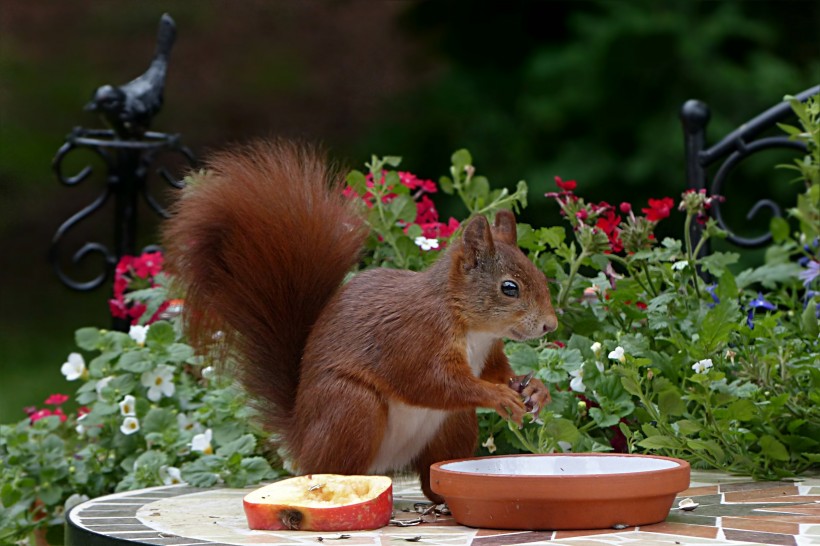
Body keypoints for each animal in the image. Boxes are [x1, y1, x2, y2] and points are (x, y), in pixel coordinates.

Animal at [162, 138, 556, 500]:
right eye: (509, 288)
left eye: (538, 273)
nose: (550, 325)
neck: (473, 327)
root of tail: (302, 439)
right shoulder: (415, 337)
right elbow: (432, 382)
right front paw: (497, 396)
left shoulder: (488, 352)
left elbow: (496, 372)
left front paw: (534, 388)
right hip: (351, 407)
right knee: (339, 466)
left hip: (452, 425)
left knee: (431, 477)